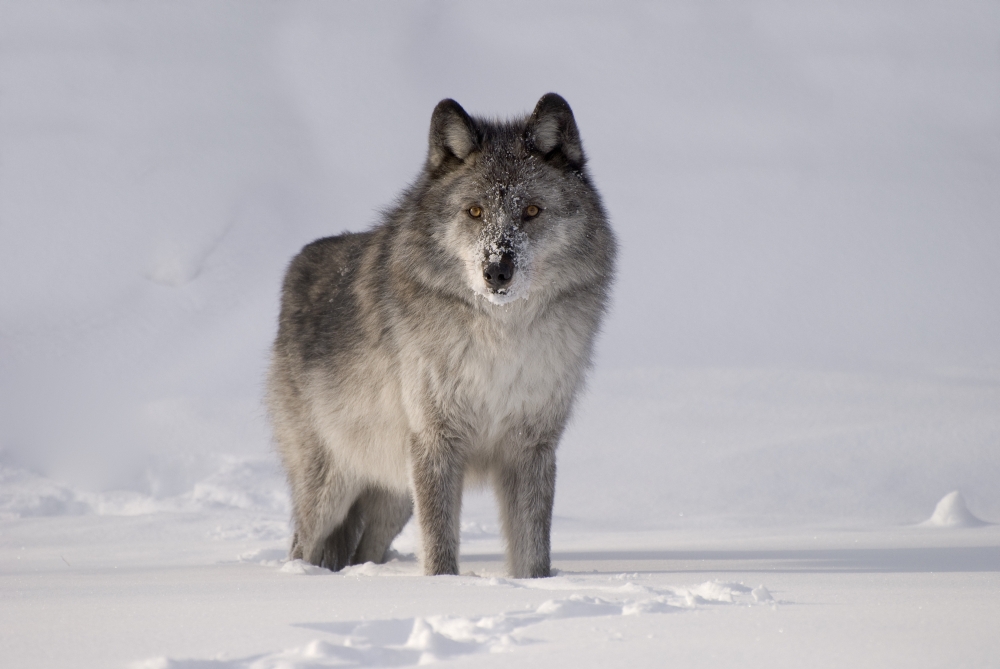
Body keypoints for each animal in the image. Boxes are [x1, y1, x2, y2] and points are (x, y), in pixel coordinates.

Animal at [268, 93, 616, 578]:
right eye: (475, 211)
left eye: (531, 211)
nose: (497, 270)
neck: (499, 341)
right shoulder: (436, 442)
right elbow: (438, 543)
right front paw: (443, 587)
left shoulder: (531, 447)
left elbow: (532, 549)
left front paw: (535, 584)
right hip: (331, 488)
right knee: (304, 545)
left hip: (393, 497)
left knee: (364, 550)